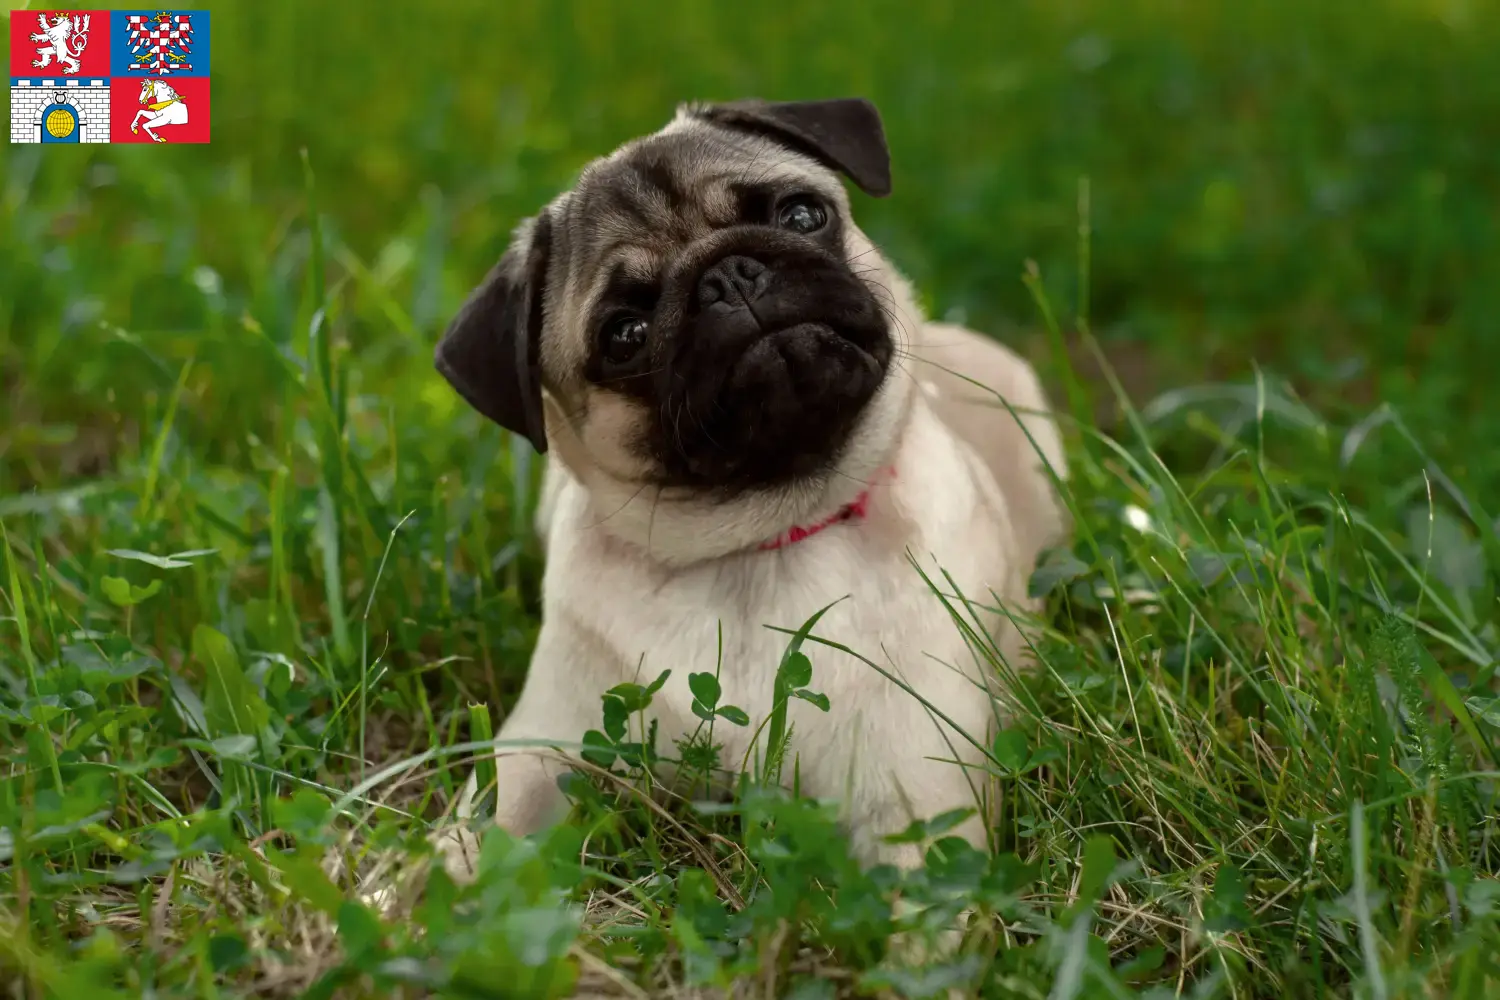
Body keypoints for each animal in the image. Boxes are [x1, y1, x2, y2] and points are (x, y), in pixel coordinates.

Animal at [435, 97, 1068, 869]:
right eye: (626, 334)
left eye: (801, 215)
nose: (729, 277)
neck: (762, 540)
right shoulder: (538, 756)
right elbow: (476, 845)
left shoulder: (916, 804)